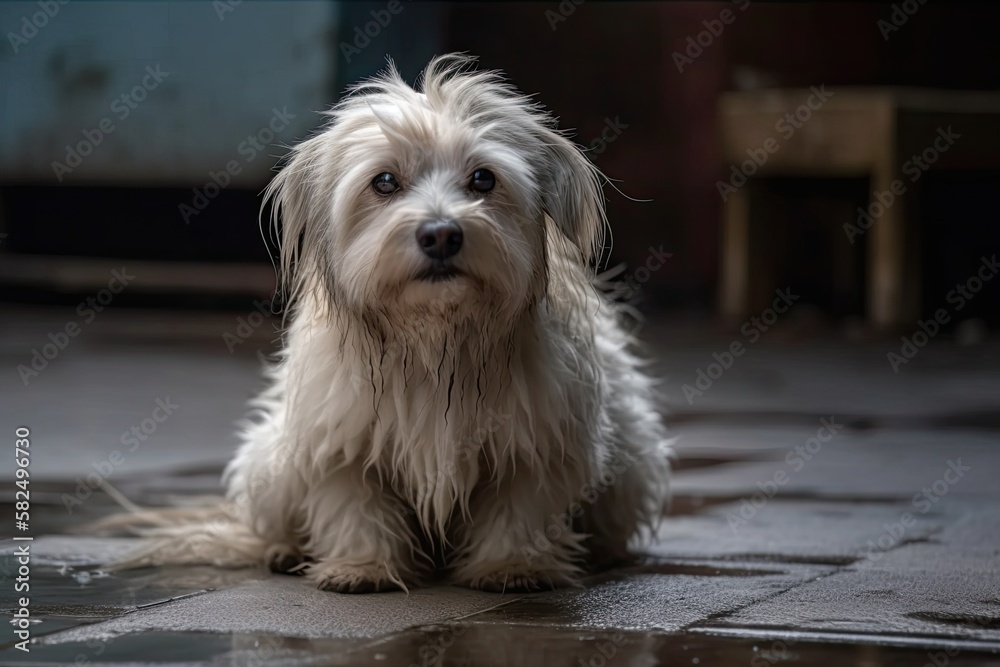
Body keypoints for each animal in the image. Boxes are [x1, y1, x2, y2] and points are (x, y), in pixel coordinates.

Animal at [97, 53, 668, 596]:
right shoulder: (338, 442)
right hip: (270, 465)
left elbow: (519, 510)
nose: (441, 234)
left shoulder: (540, 442)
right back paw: (284, 551)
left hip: (633, 459)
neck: (436, 335)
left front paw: (512, 566)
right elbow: (354, 508)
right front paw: (362, 567)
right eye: (385, 182)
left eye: (483, 178)